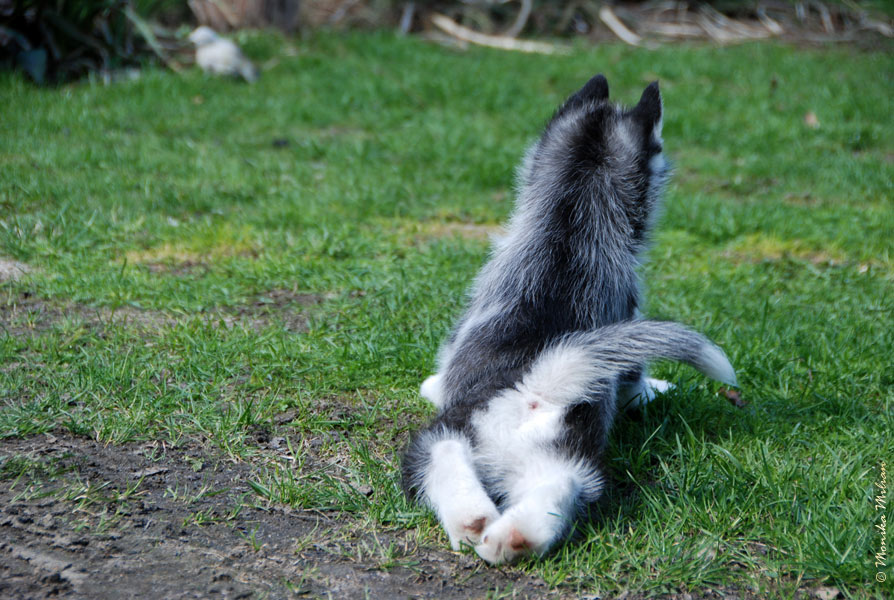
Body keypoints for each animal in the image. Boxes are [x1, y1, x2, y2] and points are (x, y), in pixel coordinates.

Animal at [401, 74, 736, 565]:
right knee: (553, 486)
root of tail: (535, 387)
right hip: (549, 456)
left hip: (442, 441)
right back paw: (503, 532)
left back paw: (479, 525)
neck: (569, 225)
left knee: (451, 461)